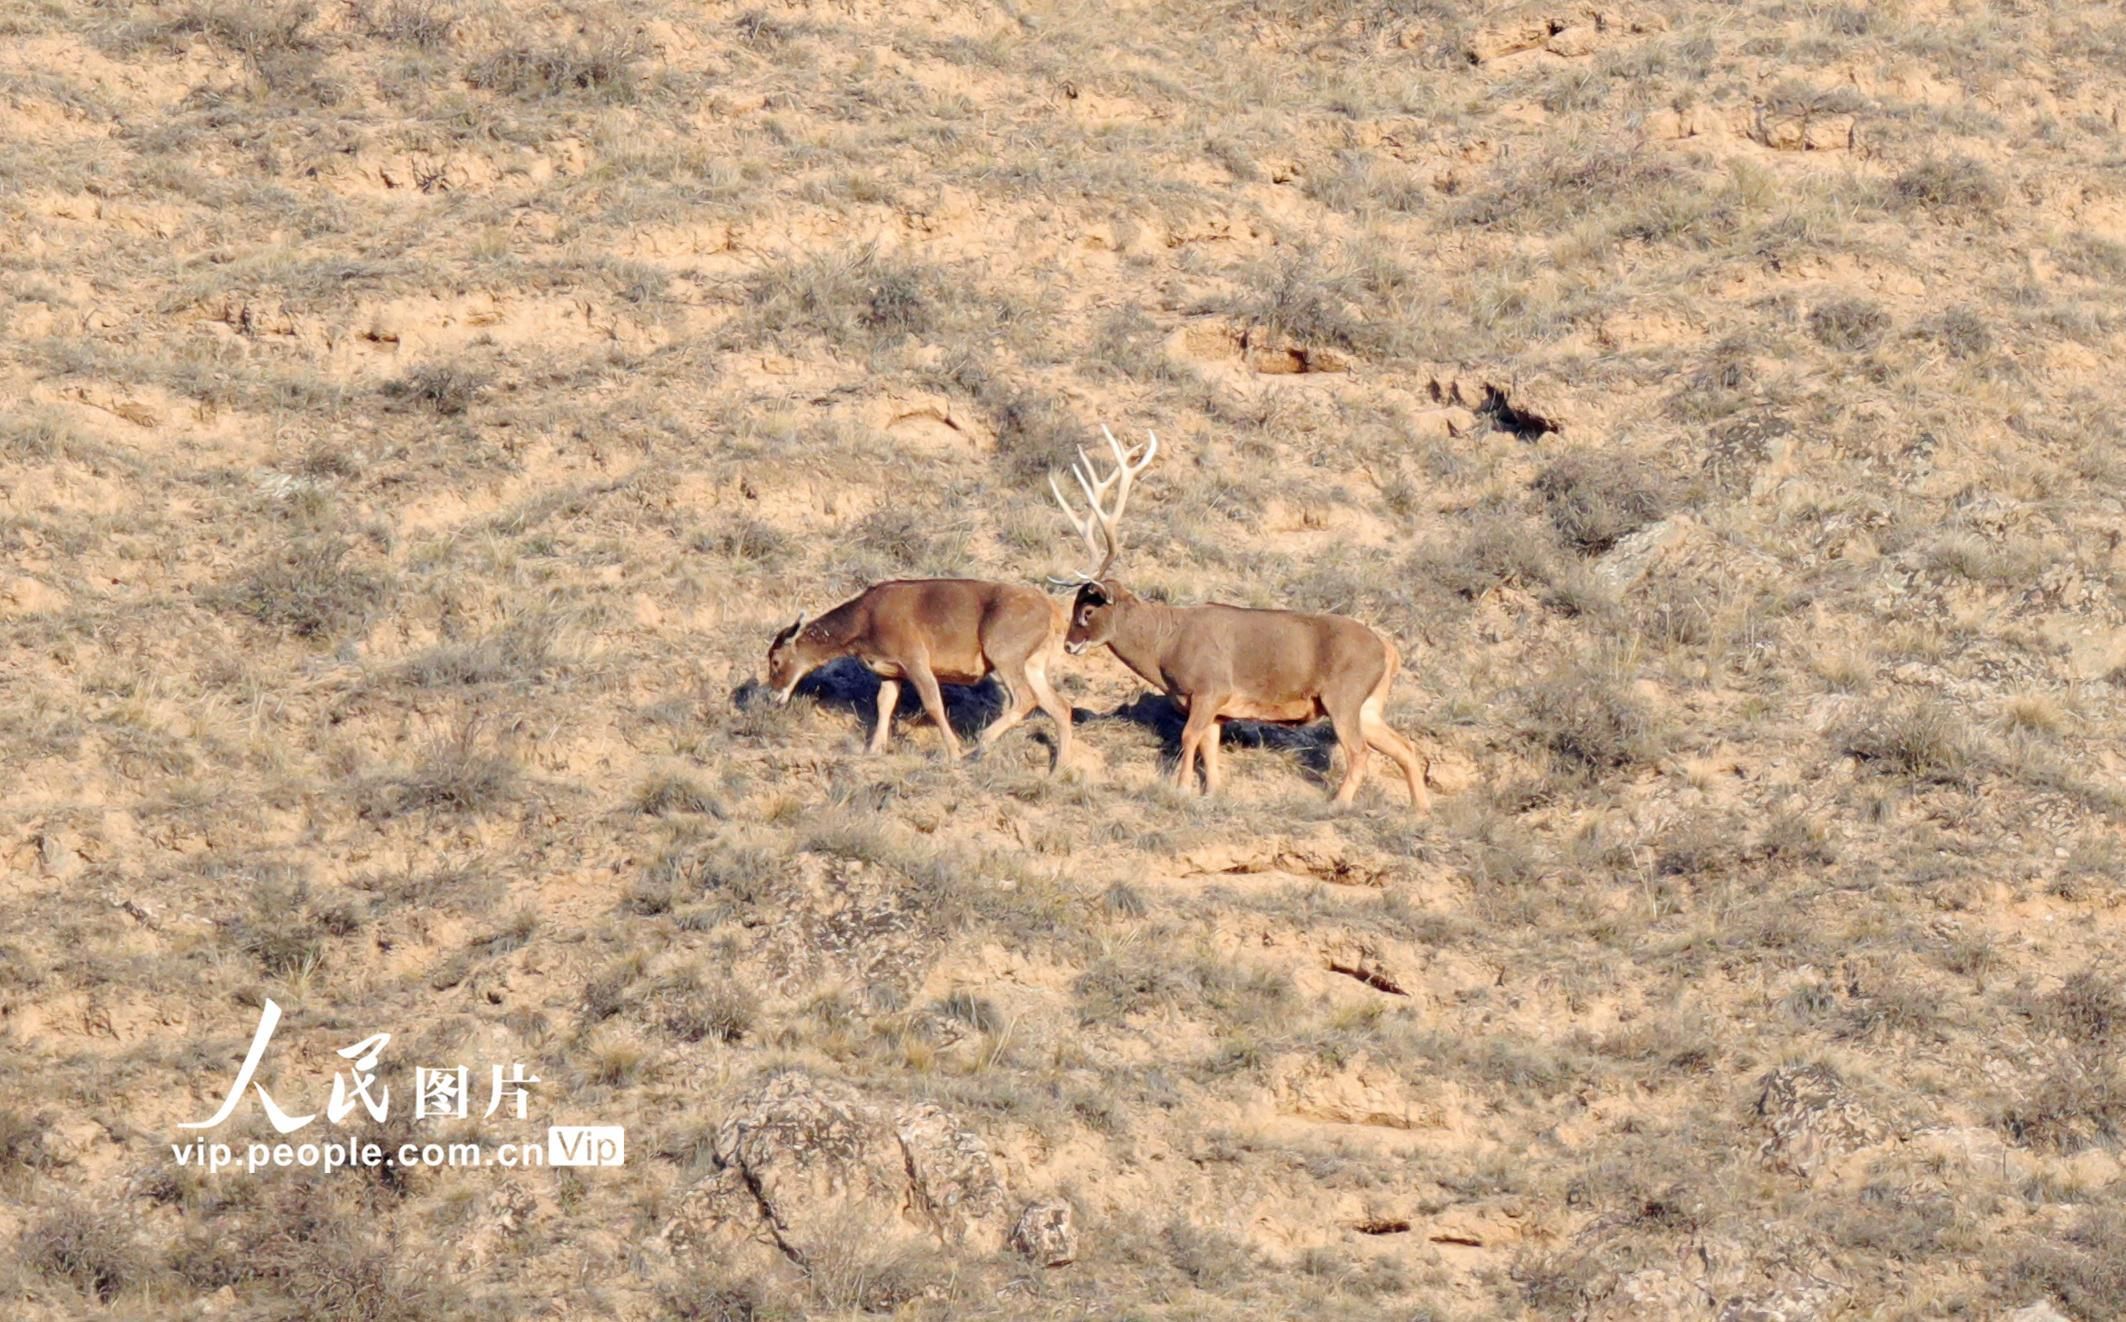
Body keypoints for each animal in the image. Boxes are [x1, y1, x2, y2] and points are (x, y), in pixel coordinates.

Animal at [761, 582, 1071, 773]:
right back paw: (1058, 769)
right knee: (1060, 706)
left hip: (1004, 652)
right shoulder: (891, 671)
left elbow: (932, 703)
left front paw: (954, 752)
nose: (774, 694)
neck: (864, 624)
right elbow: (884, 703)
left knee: (1026, 698)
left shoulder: (914, 659)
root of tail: (1055, 612)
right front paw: (874, 749)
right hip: (1033, 663)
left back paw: (982, 742)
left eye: (775, 660)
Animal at [1045, 429, 1428, 811]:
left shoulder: (1210, 687)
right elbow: (1209, 746)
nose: (1069, 644)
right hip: (1369, 704)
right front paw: (1211, 791)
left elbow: (1189, 736)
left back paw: (1337, 804)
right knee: (1405, 747)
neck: (1165, 646)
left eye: (1088, 610)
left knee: (1360, 752)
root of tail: (1389, 650)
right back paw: (1419, 810)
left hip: (1343, 695)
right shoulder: (1217, 708)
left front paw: (1181, 788)